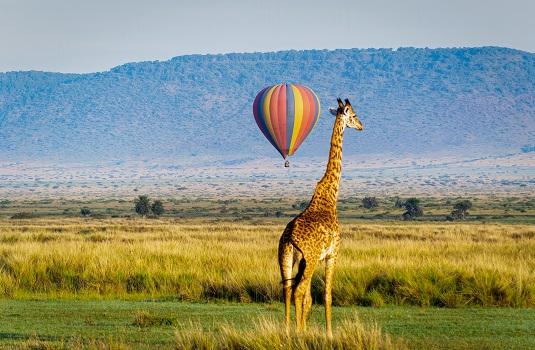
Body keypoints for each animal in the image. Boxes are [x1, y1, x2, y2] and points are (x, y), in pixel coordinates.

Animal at [278, 97, 362, 338]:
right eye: (353, 115)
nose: (361, 126)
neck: (330, 196)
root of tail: (289, 237)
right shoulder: (332, 254)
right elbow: (326, 295)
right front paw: (329, 333)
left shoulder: (312, 259)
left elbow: (310, 299)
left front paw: (306, 329)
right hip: (311, 257)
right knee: (298, 290)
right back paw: (297, 332)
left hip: (286, 257)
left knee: (287, 289)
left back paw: (288, 330)